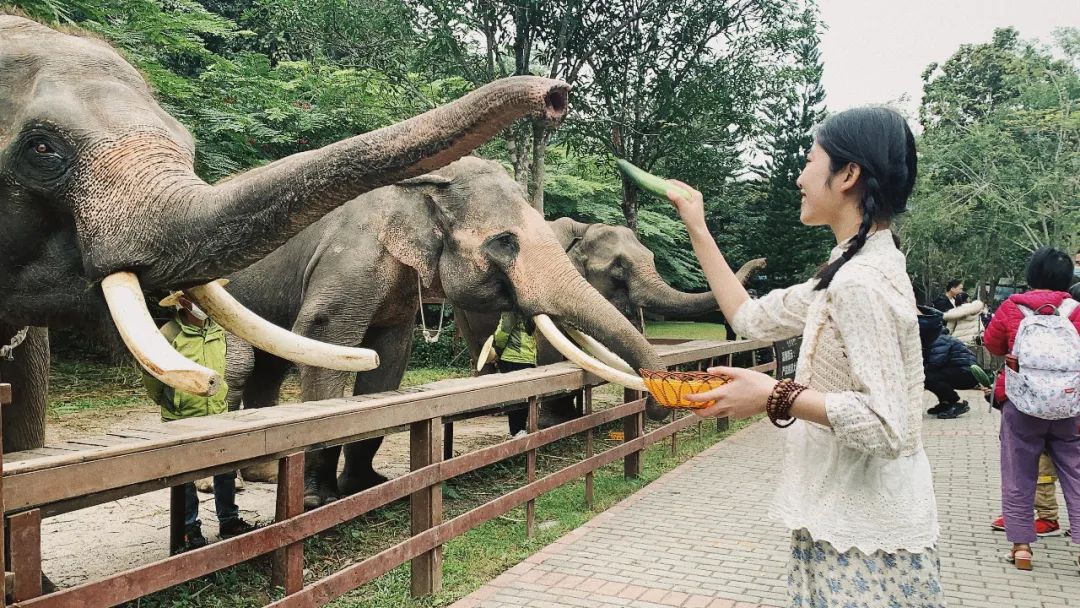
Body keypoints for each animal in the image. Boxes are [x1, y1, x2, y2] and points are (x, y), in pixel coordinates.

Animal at [0, 11, 570, 453]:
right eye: (42, 149)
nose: (556, 93)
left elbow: (389, 355)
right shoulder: (352, 256)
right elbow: (324, 332)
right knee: (243, 366)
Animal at [224, 158, 665, 509]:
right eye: (504, 242)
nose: (655, 406)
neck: (426, 182)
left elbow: (389, 357)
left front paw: (370, 486)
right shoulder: (352, 254)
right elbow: (325, 333)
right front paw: (319, 500)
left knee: (269, 365)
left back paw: (265, 474)